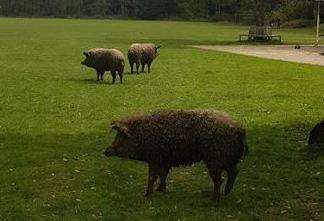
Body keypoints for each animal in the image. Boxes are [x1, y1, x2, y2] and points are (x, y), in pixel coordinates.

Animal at [104, 109, 248, 201]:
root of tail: (239, 128)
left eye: (121, 137)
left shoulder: (154, 158)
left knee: (219, 179)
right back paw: (226, 193)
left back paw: (214, 199)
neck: (143, 136)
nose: (105, 151)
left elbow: (152, 177)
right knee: (234, 171)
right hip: (228, 158)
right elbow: (163, 175)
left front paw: (146, 195)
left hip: (215, 158)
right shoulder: (165, 160)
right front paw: (160, 190)